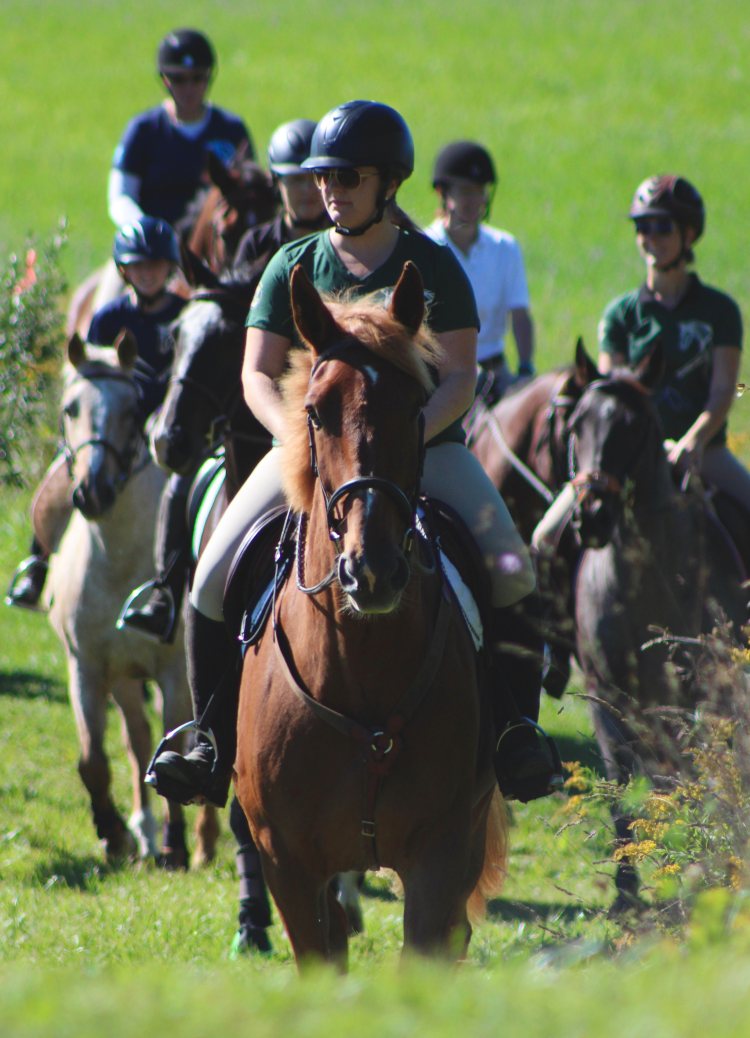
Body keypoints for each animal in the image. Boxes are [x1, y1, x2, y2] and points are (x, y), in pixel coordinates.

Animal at [231, 263, 508, 967]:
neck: (360, 670)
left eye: (414, 407)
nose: (372, 569)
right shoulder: (288, 865)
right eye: (314, 412)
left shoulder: (441, 858)